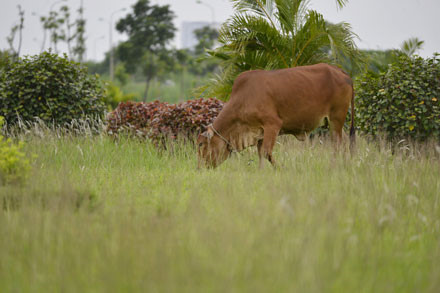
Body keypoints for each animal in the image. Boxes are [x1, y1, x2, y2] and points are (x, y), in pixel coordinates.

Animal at [198, 62, 356, 168]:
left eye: (200, 143)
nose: (199, 168)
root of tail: (340, 71)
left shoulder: (273, 124)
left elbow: (266, 152)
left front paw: (278, 169)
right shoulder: (259, 132)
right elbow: (261, 153)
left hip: (336, 118)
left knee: (337, 145)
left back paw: (333, 166)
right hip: (333, 122)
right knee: (343, 143)